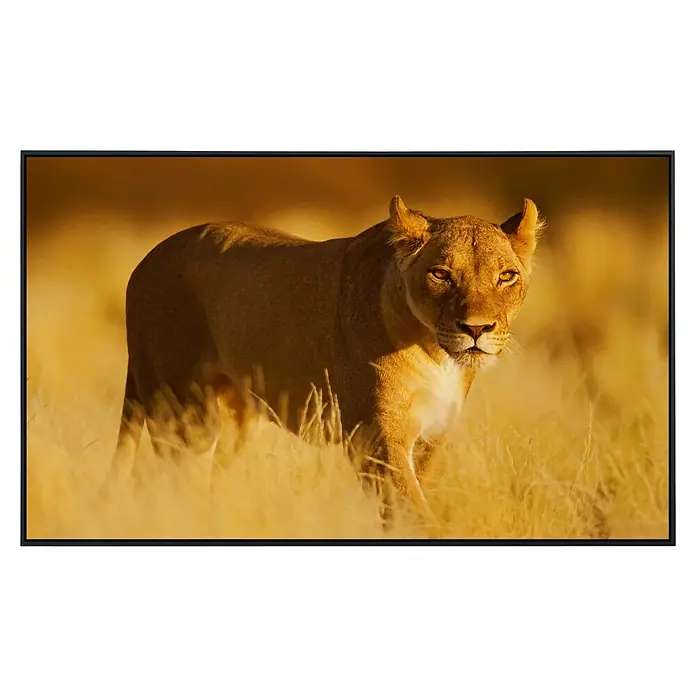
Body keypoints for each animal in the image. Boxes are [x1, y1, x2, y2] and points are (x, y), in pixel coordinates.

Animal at [113, 196, 543, 534]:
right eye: (441, 274)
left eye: (506, 277)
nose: (477, 329)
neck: (436, 354)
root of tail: (144, 261)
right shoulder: (374, 434)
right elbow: (412, 510)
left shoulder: (434, 436)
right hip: (184, 415)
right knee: (169, 481)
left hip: (233, 421)